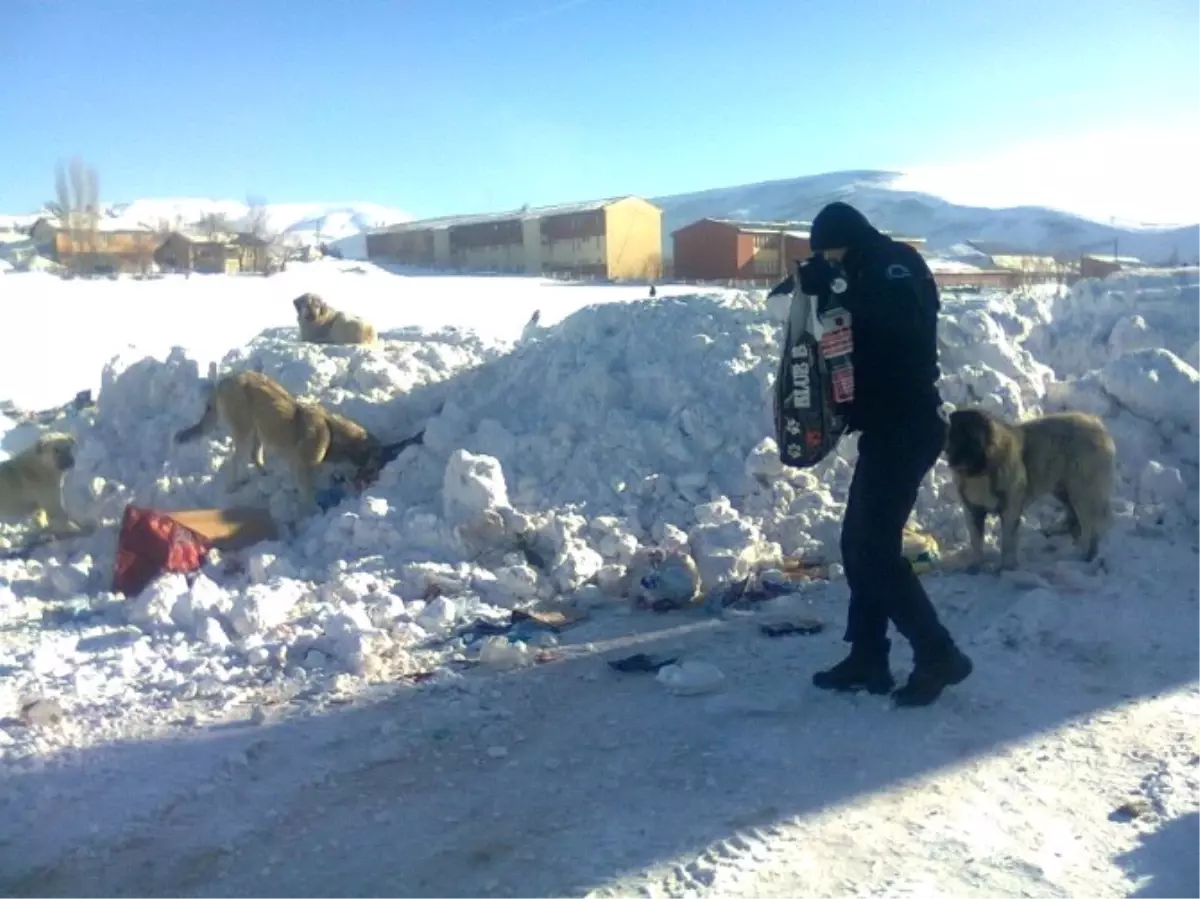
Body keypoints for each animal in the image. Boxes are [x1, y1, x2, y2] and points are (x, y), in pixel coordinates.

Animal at [945, 405, 1113, 568]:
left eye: (969, 437)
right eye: (952, 436)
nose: (953, 460)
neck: (982, 469)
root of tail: (1097, 424)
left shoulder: (1010, 509)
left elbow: (1008, 541)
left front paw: (1007, 567)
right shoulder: (972, 510)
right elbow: (976, 540)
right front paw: (975, 565)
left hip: (1082, 491)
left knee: (1089, 525)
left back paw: (1083, 555)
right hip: (1062, 488)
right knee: (1074, 515)